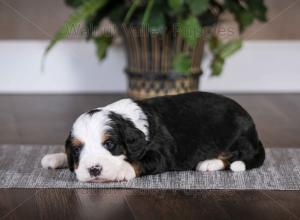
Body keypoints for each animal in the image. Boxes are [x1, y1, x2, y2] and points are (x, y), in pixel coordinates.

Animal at [40, 91, 264, 182]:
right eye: (77, 149)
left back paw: (209, 163)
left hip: (238, 137)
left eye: (110, 144)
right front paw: (55, 157)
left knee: (236, 156)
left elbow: (138, 161)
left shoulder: (162, 155)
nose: (94, 170)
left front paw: (121, 170)